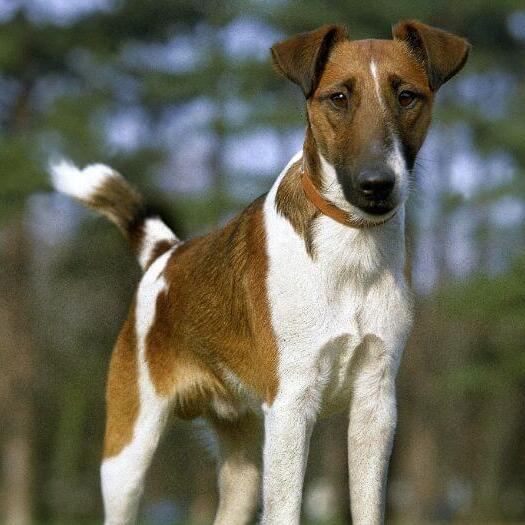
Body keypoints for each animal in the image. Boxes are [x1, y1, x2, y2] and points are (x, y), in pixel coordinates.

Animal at [50, 19, 466, 524]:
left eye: (407, 96)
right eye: (338, 97)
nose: (376, 184)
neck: (349, 248)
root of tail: (165, 254)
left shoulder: (375, 404)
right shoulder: (290, 406)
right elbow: (286, 508)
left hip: (243, 469)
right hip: (129, 450)